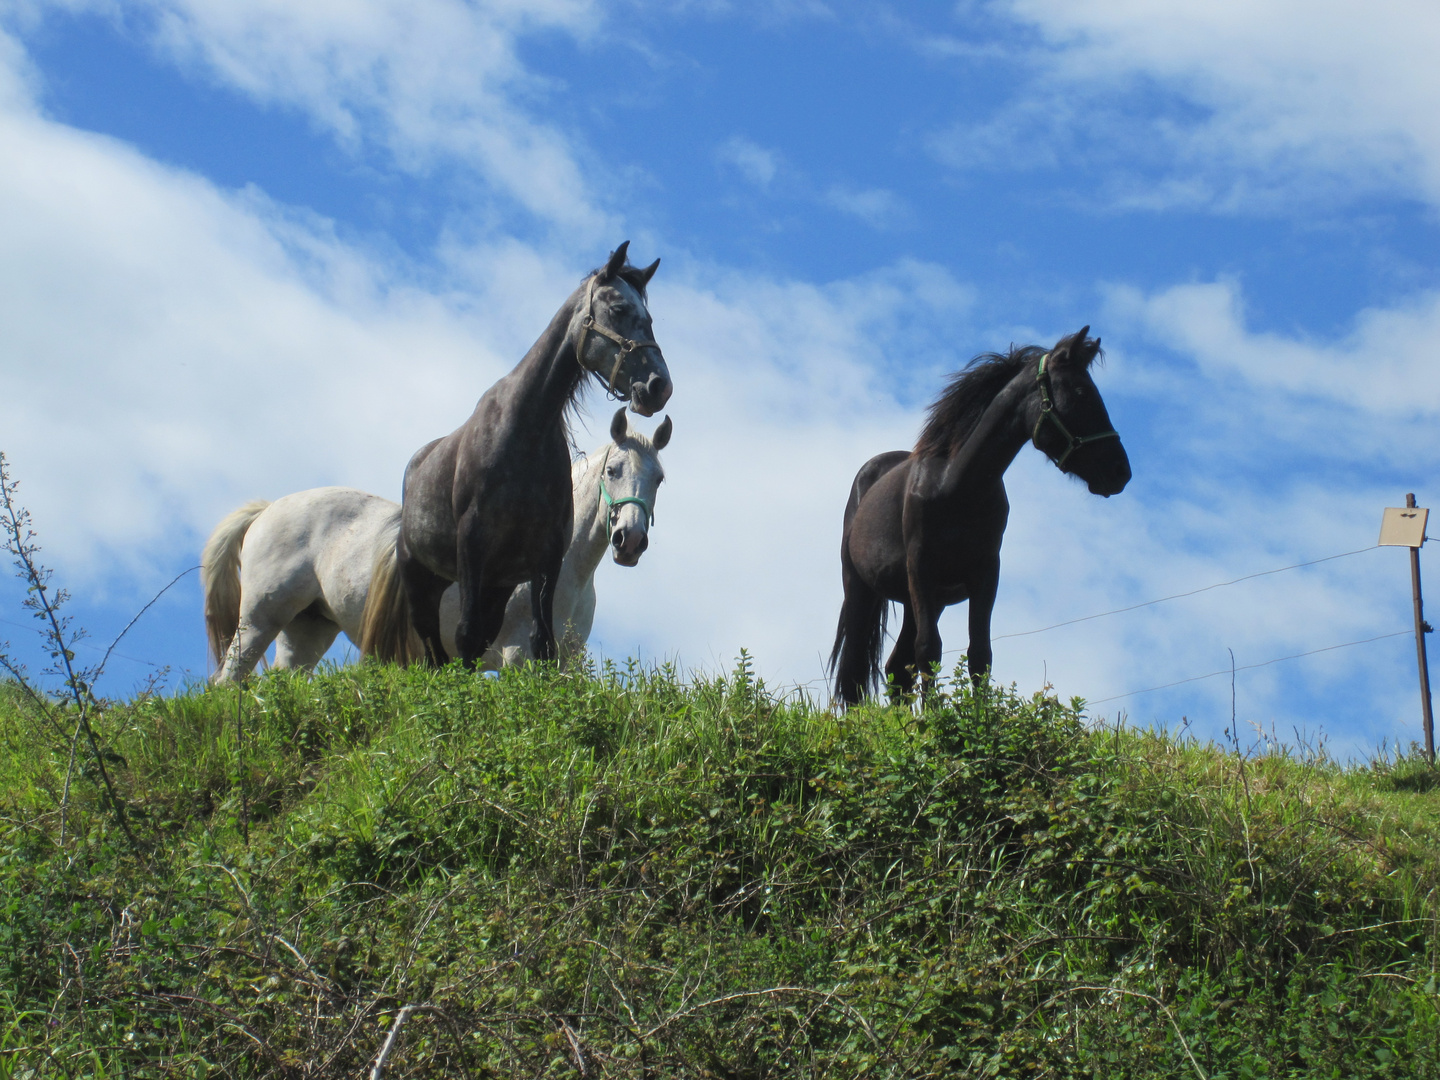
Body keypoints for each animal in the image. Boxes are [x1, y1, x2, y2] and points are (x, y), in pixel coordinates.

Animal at [203, 408, 668, 685]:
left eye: (659, 478)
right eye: (613, 470)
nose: (630, 541)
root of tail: (268, 510)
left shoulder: (563, 663)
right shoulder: (518, 658)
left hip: (307, 629)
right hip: (259, 620)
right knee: (227, 682)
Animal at [362, 244, 671, 668]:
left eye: (660, 480)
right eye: (619, 308)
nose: (659, 386)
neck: (524, 434)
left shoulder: (545, 559)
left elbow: (541, 643)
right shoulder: (473, 548)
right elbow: (467, 636)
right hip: (421, 582)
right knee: (436, 650)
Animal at [835, 325, 1134, 705]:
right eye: (1082, 393)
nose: (1120, 471)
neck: (957, 487)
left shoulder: (985, 574)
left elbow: (979, 654)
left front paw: (976, 715)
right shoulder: (922, 569)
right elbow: (929, 650)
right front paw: (934, 718)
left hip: (920, 602)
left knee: (895, 669)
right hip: (861, 589)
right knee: (856, 673)